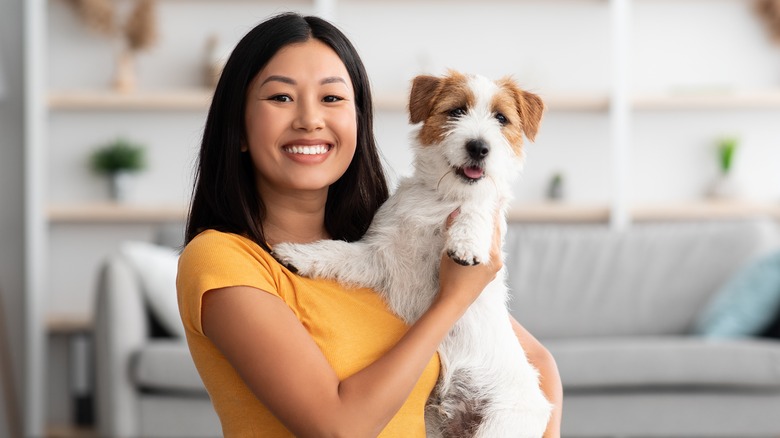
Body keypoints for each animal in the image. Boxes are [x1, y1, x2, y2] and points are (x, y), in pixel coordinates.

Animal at [272, 70, 552, 436]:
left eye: (501, 118)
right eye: (456, 111)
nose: (478, 147)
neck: (440, 198)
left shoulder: (485, 213)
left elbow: (478, 206)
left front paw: (465, 244)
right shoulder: (379, 256)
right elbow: (337, 252)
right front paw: (296, 253)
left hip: (501, 423)